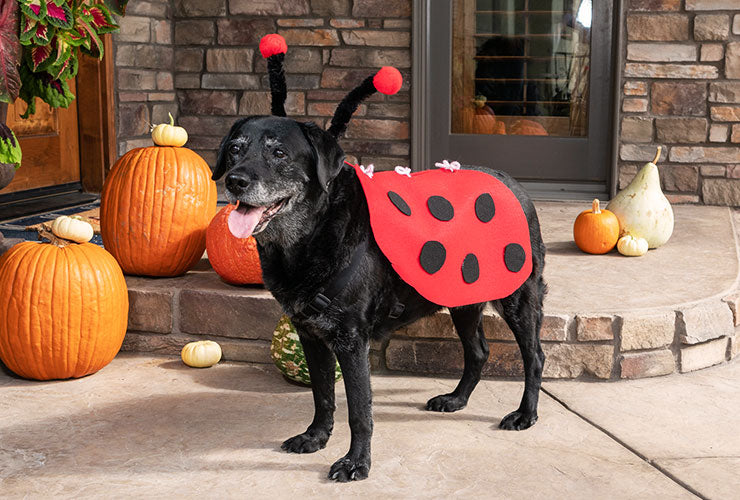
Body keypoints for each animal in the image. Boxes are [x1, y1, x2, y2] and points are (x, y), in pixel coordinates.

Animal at [211, 45, 548, 482]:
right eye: (235, 148)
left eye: (279, 153)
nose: (235, 181)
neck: (312, 235)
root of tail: (514, 184)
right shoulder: (310, 335)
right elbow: (322, 395)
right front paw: (315, 437)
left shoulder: (352, 340)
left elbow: (360, 410)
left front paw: (357, 462)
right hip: (462, 300)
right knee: (477, 351)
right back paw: (456, 399)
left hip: (519, 298)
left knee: (534, 357)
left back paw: (525, 415)